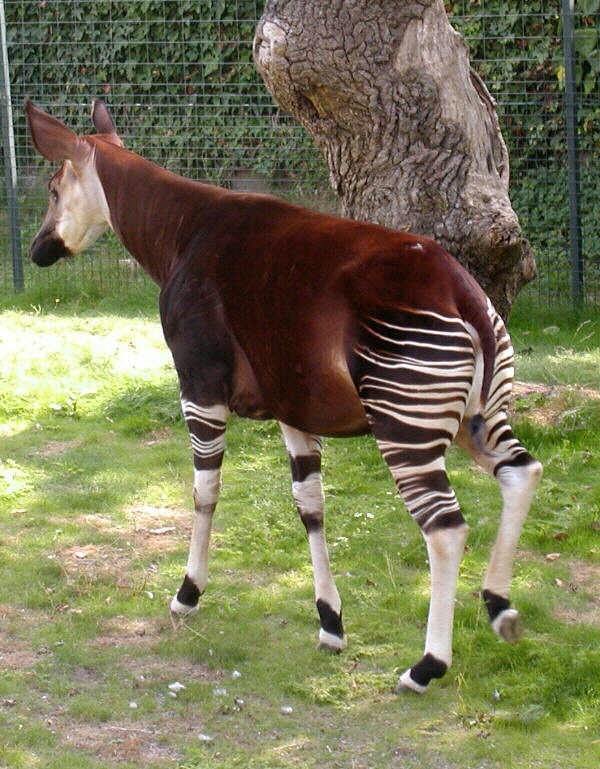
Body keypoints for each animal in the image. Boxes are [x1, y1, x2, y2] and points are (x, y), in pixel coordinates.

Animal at [25, 99, 542, 693]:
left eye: (54, 190)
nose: (38, 250)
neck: (181, 233)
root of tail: (465, 294)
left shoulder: (199, 384)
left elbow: (205, 490)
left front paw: (187, 594)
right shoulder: (293, 403)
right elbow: (310, 506)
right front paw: (331, 624)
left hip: (403, 424)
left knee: (446, 528)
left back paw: (426, 665)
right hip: (475, 417)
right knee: (521, 472)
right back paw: (500, 609)